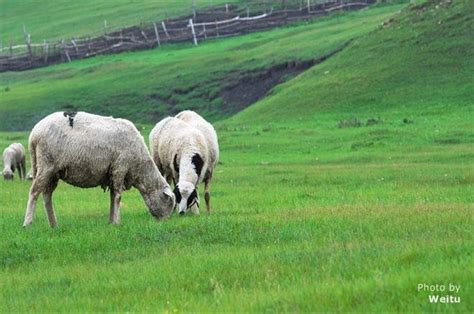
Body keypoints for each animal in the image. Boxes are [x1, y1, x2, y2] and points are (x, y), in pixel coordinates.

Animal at [23, 111, 175, 227]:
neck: (140, 168)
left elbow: (112, 197)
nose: (165, 222)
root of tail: (33, 134)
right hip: (46, 164)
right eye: (170, 203)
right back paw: (28, 223)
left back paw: (53, 224)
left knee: (47, 195)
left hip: (52, 171)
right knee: (34, 191)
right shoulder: (120, 167)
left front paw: (111, 221)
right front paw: (117, 222)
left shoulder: (111, 172)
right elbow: (118, 196)